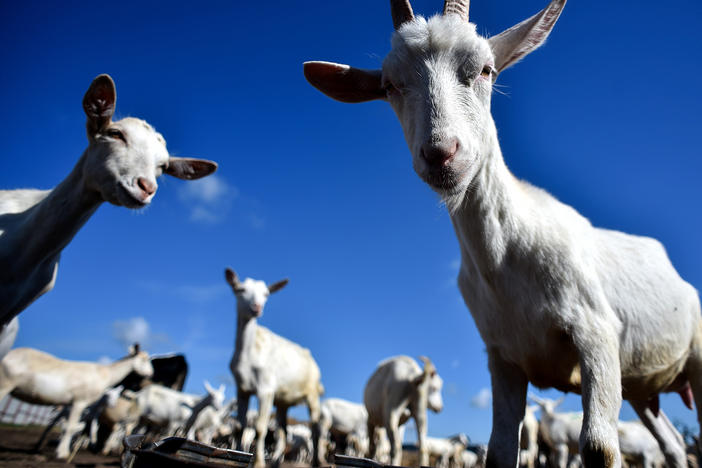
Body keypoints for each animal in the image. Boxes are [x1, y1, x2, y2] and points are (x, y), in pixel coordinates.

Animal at [0, 344, 153, 458]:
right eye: (144, 359)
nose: (151, 374)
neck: (105, 374)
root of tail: (10, 353)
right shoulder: (80, 401)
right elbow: (71, 427)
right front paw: (63, 453)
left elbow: (83, 429)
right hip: (5, 385)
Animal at [226, 266, 324, 468]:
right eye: (240, 290)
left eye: (266, 294)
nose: (256, 307)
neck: (249, 352)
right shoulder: (242, 389)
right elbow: (240, 427)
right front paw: (239, 454)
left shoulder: (266, 388)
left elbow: (260, 428)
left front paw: (258, 463)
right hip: (282, 401)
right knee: (283, 432)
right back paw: (277, 462)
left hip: (312, 393)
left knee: (316, 429)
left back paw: (316, 461)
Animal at [306, 1, 702, 466]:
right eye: (389, 86)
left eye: (486, 70)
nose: (441, 154)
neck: (508, 253)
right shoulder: (503, 357)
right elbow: (497, 451)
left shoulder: (597, 332)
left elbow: (599, 447)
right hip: (642, 388)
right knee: (672, 443)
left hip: (695, 355)